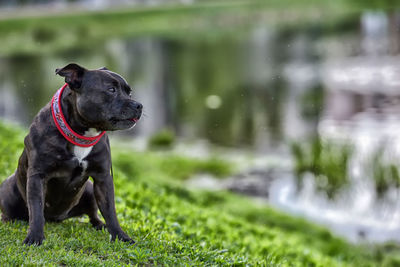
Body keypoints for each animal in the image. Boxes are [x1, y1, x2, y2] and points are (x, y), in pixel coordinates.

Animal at [0, 63, 142, 246]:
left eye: (129, 92)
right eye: (111, 90)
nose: (139, 105)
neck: (81, 134)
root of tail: (56, 218)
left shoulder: (103, 178)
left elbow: (110, 211)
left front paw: (120, 236)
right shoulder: (38, 176)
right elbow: (36, 210)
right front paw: (34, 237)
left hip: (89, 191)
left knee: (93, 214)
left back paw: (100, 225)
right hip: (6, 191)